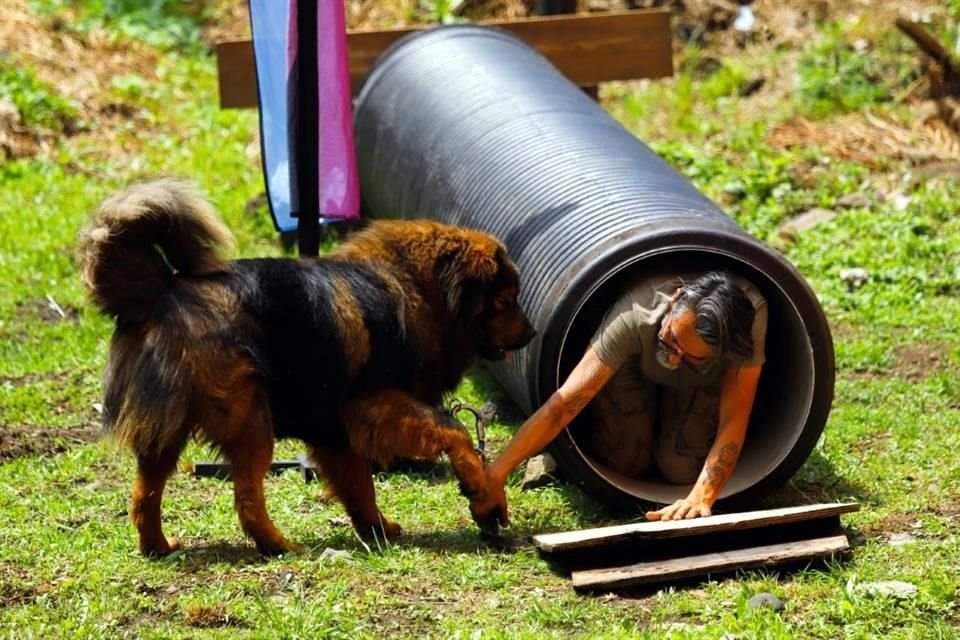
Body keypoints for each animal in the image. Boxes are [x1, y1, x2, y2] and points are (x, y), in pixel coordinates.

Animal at [79, 180, 536, 556]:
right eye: (507, 298)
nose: (532, 332)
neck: (416, 288)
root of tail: (160, 292)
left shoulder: (335, 432)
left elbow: (360, 488)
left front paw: (376, 530)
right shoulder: (372, 406)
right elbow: (454, 431)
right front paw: (480, 488)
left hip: (166, 434)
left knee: (144, 494)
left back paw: (157, 546)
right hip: (250, 420)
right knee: (246, 498)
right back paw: (278, 546)